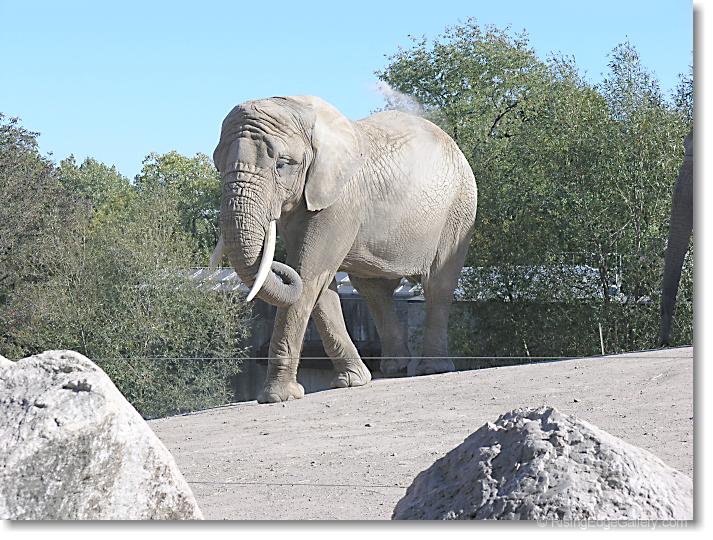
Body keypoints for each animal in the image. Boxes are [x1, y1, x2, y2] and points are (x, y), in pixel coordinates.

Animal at [212, 96, 477, 403]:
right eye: (218, 166)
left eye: (282, 164)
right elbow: (318, 284)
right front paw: (353, 381)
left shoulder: (339, 200)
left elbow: (310, 273)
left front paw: (277, 397)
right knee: (374, 290)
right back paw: (394, 369)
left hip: (459, 208)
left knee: (438, 284)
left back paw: (432, 369)